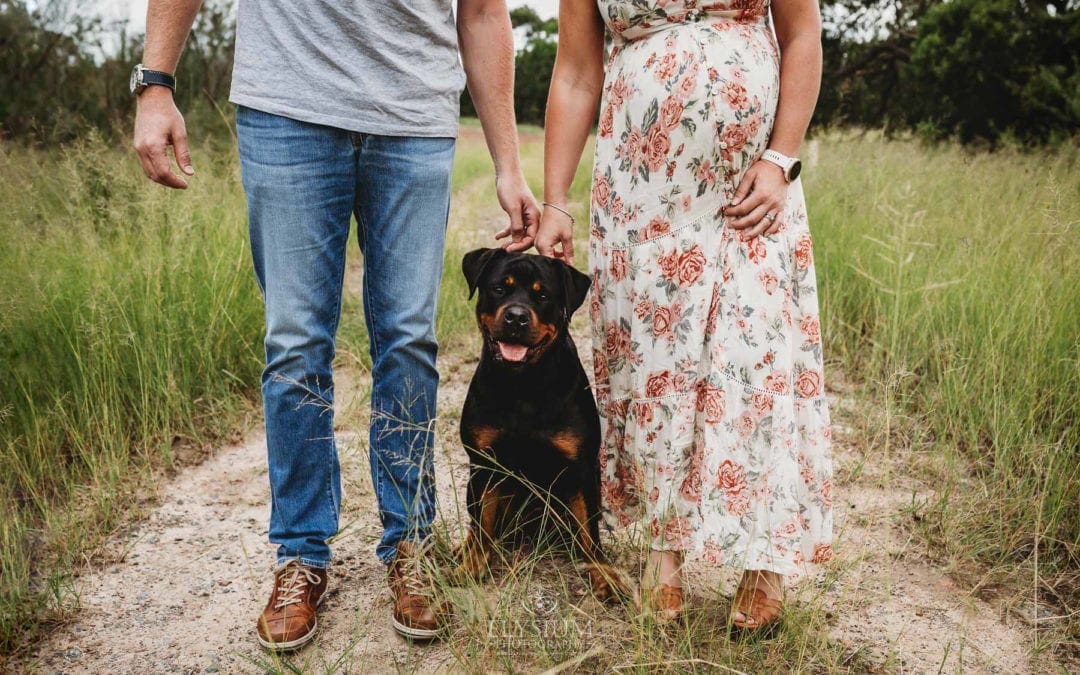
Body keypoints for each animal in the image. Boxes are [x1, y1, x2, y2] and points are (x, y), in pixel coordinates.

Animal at [451, 247, 630, 600]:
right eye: (499, 288)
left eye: (543, 295)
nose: (516, 317)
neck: (523, 384)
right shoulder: (484, 464)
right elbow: (481, 524)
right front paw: (472, 565)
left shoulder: (581, 468)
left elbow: (591, 532)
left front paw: (604, 576)